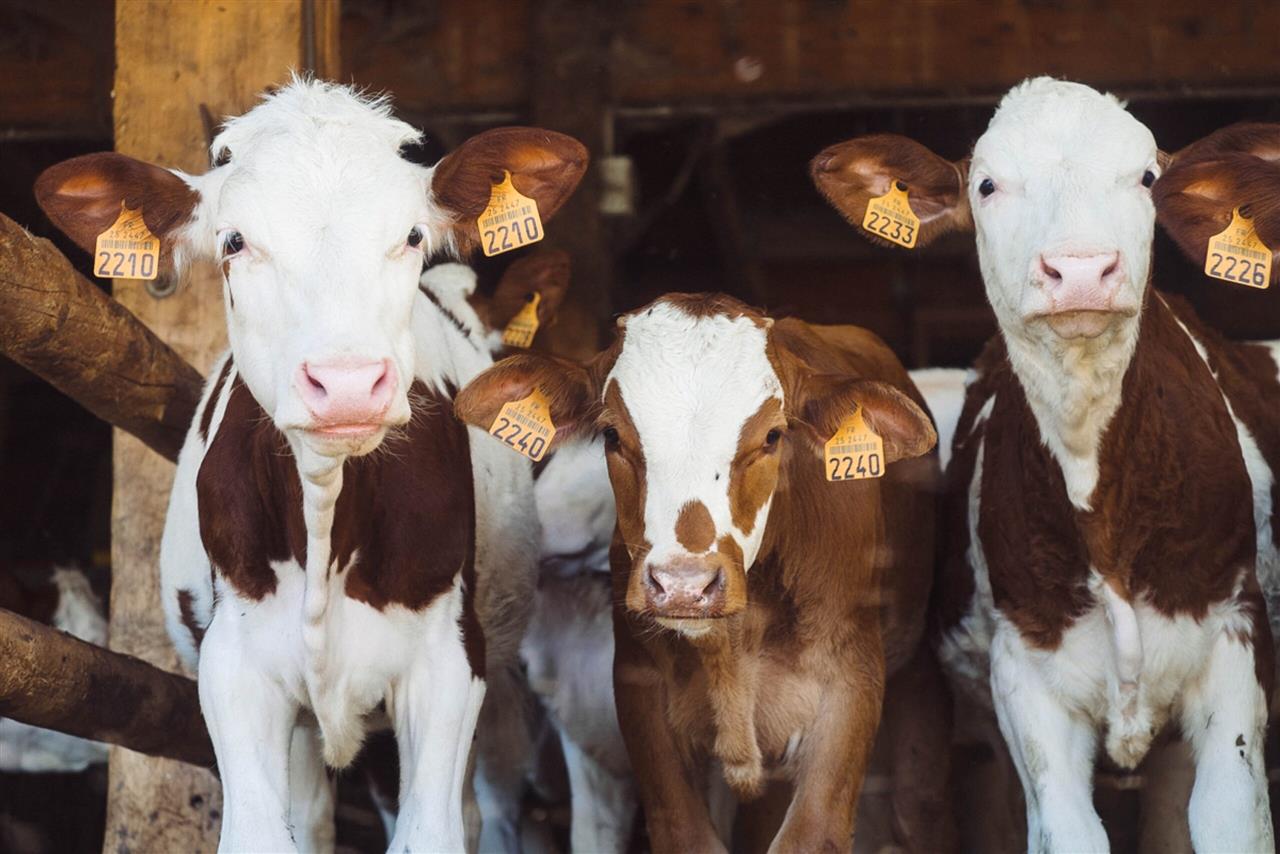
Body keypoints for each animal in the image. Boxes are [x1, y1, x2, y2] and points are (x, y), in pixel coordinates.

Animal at [35, 78, 586, 852]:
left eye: (412, 235)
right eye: (234, 241)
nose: (347, 383)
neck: (326, 518)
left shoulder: (448, 664)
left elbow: (430, 829)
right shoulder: (234, 667)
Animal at [811, 76, 1280, 852]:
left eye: (1147, 177)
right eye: (987, 184)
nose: (1082, 269)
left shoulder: (1234, 636)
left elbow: (1228, 820)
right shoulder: (1024, 679)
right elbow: (1067, 832)